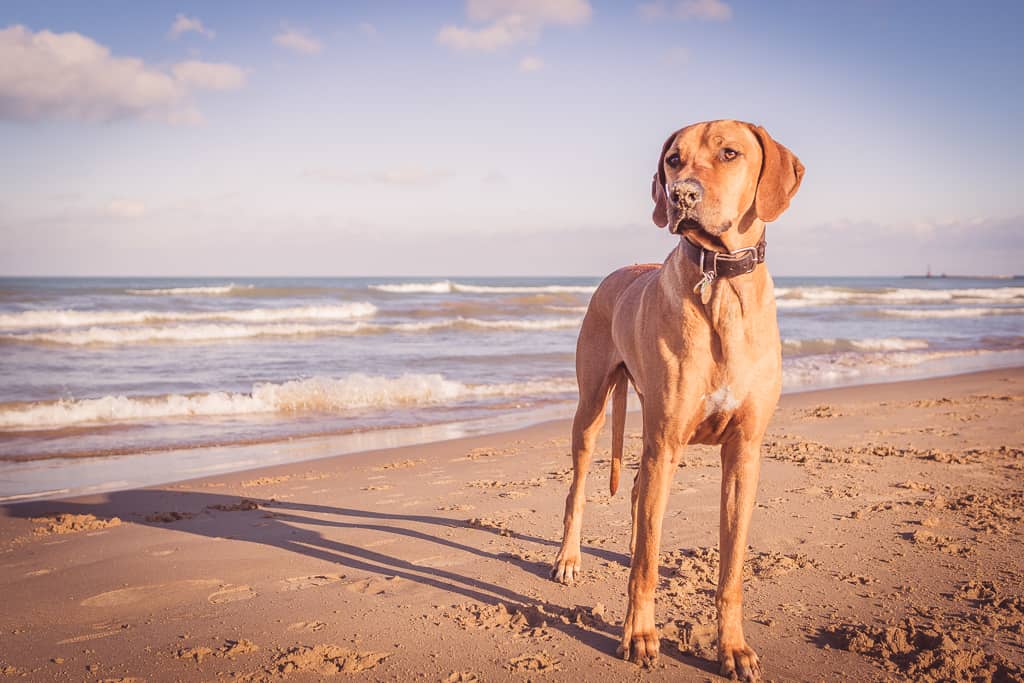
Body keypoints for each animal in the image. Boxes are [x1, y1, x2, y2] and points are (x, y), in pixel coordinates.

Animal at [548, 120, 802, 679]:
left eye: (730, 153)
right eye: (673, 159)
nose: (681, 194)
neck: (719, 276)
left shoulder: (744, 451)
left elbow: (731, 569)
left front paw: (733, 647)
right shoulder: (664, 441)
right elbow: (644, 566)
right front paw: (640, 635)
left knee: (640, 494)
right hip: (592, 408)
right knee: (580, 491)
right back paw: (569, 558)